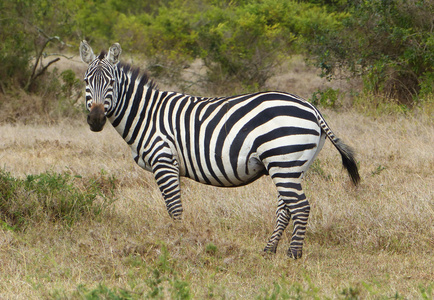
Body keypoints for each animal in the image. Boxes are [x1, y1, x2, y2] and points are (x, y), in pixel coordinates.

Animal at [79, 41, 362, 258]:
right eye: (86, 81)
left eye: (111, 83)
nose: (95, 120)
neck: (147, 115)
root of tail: (311, 107)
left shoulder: (164, 161)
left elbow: (174, 208)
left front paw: (178, 242)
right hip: (293, 165)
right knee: (286, 208)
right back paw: (268, 250)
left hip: (283, 160)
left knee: (301, 207)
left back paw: (293, 254)